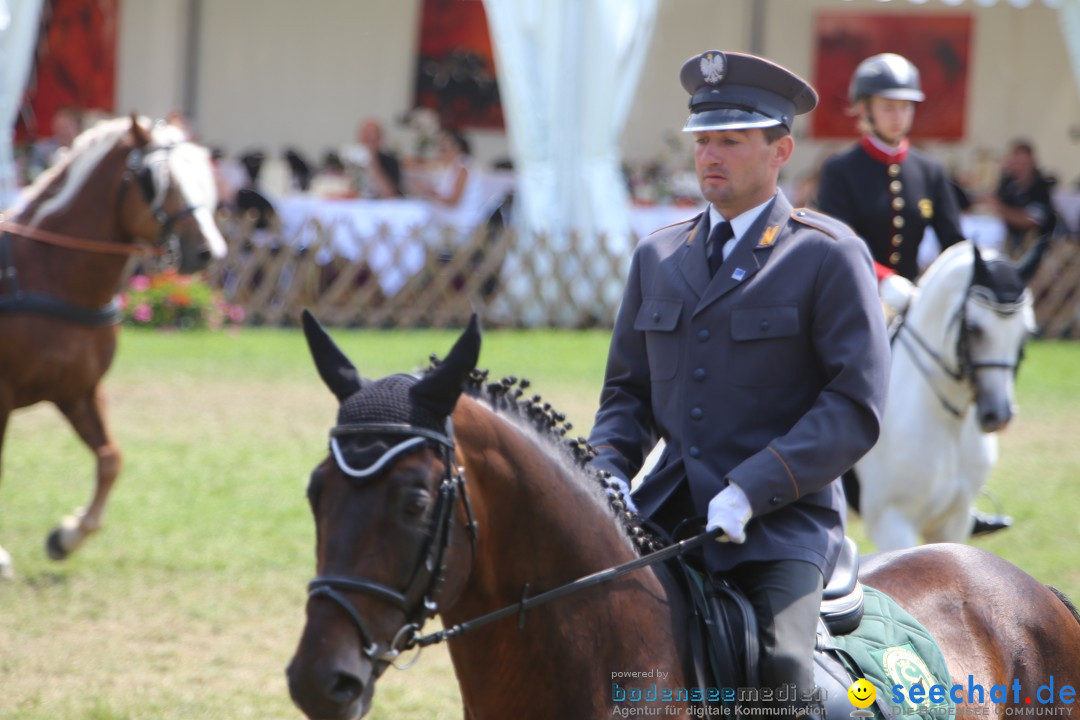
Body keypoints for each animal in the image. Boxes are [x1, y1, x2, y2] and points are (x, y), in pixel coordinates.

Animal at [0, 113, 223, 574]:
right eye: (157, 179)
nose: (209, 251)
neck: (42, 273)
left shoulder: (79, 391)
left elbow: (110, 460)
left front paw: (67, 535)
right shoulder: (2, 394)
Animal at [851, 241, 1036, 552]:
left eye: (1026, 331)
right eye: (974, 328)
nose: (997, 415)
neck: (949, 424)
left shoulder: (954, 522)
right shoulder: (892, 522)